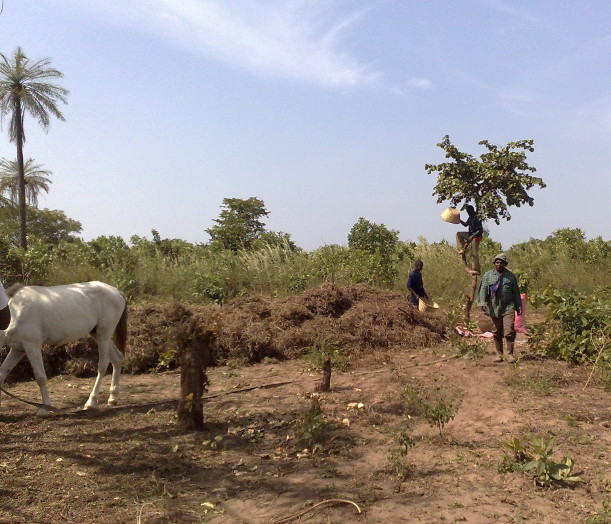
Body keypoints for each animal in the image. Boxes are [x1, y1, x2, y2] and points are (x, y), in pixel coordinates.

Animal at [0, 280, 127, 416]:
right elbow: (2, 373)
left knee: (103, 365)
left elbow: (40, 377)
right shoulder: (18, 349)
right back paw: (113, 398)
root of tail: (116, 291)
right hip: (98, 335)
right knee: (117, 358)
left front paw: (44, 409)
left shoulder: (32, 346)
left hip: (104, 335)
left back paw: (91, 402)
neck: (15, 312)